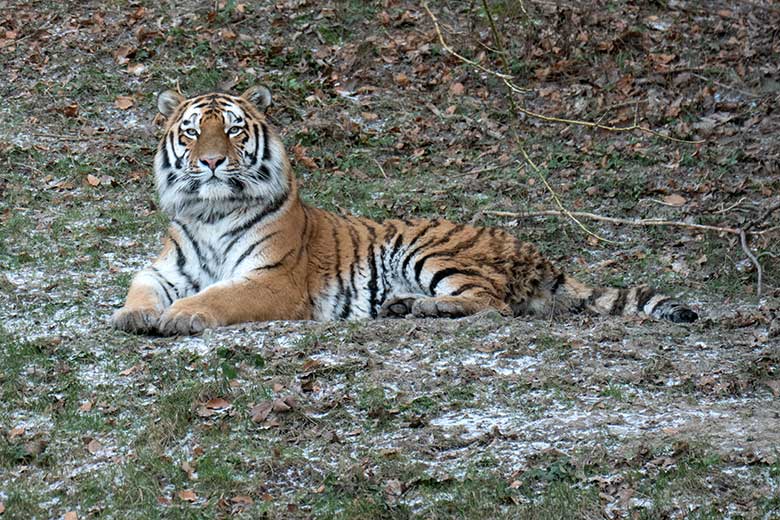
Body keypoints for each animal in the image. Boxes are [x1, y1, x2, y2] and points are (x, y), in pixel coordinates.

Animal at [108, 86, 696, 336]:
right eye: (191, 131)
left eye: (231, 129)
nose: (210, 161)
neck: (210, 212)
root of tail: (538, 254)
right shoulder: (164, 269)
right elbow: (140, 288)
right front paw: (134, 315)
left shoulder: (272, 279)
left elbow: (220, 295)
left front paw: (182, 316)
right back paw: (402, 307)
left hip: (427, 249)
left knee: (493, 303)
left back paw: (424, 308)